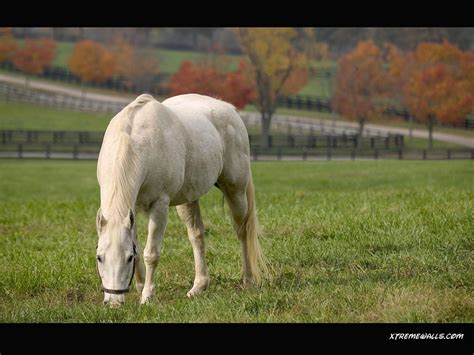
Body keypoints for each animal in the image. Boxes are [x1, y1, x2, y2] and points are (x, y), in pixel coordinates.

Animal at [95, 92, 268, 306]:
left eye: (127, 258)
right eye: (99, 257)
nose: (113, 302)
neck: (137, 140)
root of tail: (229, 109)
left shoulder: (159, 206)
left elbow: (151, 253)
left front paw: (147, 295)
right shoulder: (131, 209)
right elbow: (139, 247)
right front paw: (140, 287)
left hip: (236, 191)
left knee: (243, 231)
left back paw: (248, 280)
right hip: (189, 199)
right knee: (197, 236)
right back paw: (199, 287)